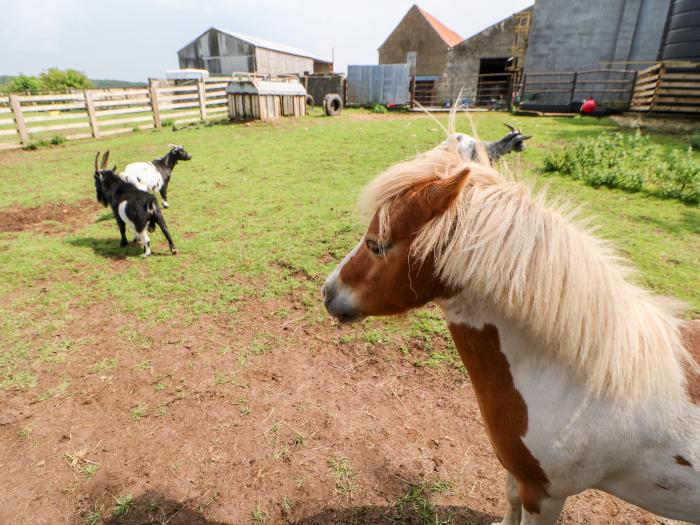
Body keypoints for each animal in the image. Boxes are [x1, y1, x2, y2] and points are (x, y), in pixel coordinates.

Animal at [322, 134, 700, 520]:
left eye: (376, 245)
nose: (328, 291)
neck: (576, 381)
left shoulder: (545, 494)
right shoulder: (520, 473)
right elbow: (509, 496)